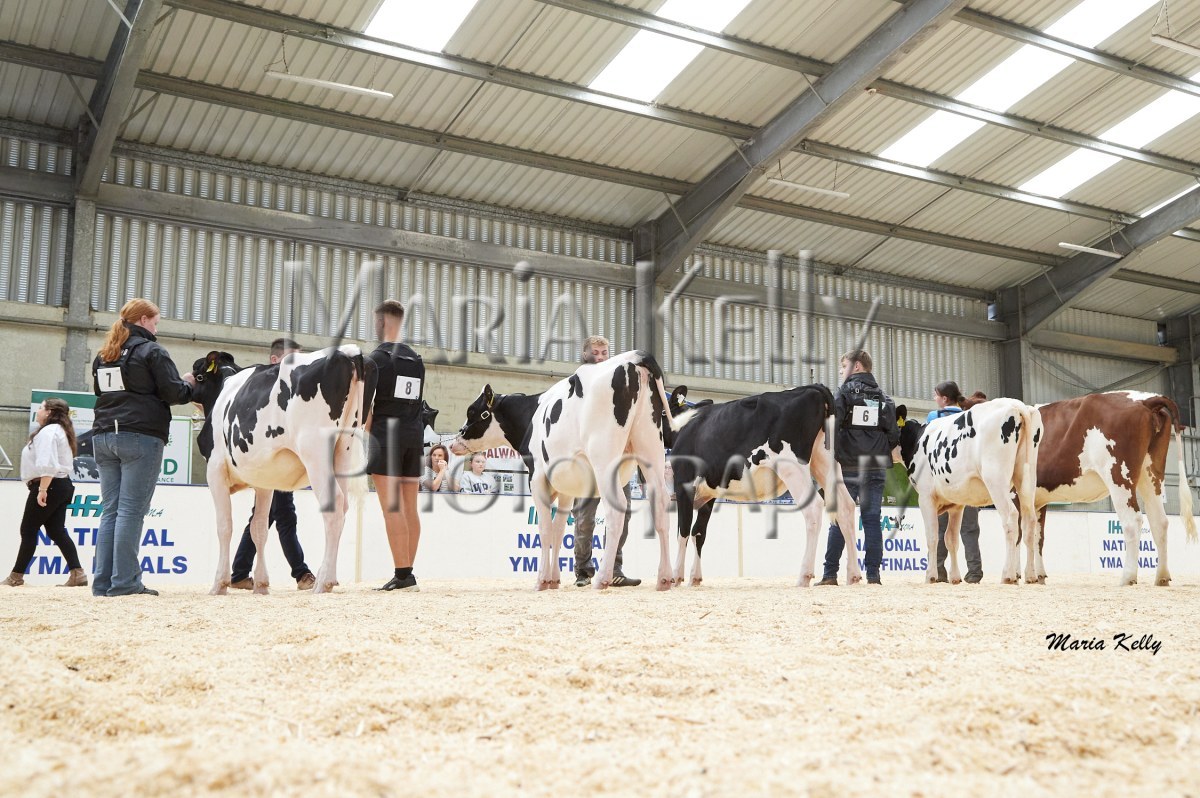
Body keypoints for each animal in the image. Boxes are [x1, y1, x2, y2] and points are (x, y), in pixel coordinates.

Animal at [191, 345, 371, 595]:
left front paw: (220, 584)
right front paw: (261, 585)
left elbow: (224, 526)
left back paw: (322, 582)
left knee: (333, 507)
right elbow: (258, 528)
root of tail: (347, 351)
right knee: (343, 506)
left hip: (315, 452)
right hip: (343, 449)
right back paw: (330, 579)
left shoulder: (214, 469)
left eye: (199, 375)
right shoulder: (263, 481)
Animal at [450, 350, 687, 591]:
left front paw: (541, 581)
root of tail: (635, 356)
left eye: (473, 411)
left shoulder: (536, 479)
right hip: (650, 446)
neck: (531, 416)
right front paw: (553, 579)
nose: (454, 441)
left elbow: (545, 529)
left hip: (604, 456)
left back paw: (602, 578)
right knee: (661, 505)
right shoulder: (566, 488)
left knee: (617, 510)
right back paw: (664, 578)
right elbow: (558, 530)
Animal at [664, 384, 862, 588]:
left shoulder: (683, 483)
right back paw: (853, 574)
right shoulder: (709, 492)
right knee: (846, 506)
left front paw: (676, 577)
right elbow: (699, 533)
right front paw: (694, 578)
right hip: (825, 462)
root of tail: (813, 389)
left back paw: (804, 575)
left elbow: (683, 530)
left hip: (792, 466)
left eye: (662, 412)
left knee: (813, 507)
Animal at [897, 398, 1042, 584]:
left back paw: (1008, 575)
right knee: (1029, 522)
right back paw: (1030, 575)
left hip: (996, 479)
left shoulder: (925, 496)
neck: (917, 440)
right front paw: (955, 577)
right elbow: (951, 539)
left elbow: (932, 537)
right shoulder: (956, 504)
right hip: (1027, 478)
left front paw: (931, 576)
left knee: (1011, 518)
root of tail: (1016, 405)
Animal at [1033, 391, 1197, 586]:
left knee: (1133, 521)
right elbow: (1037, 536)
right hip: (1151, 474)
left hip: (1118, 476)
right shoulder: (1038, 499)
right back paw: (1162, 577)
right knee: (1160, 521)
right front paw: (1036, 577)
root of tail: (1146, 399)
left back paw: (1127, 577)